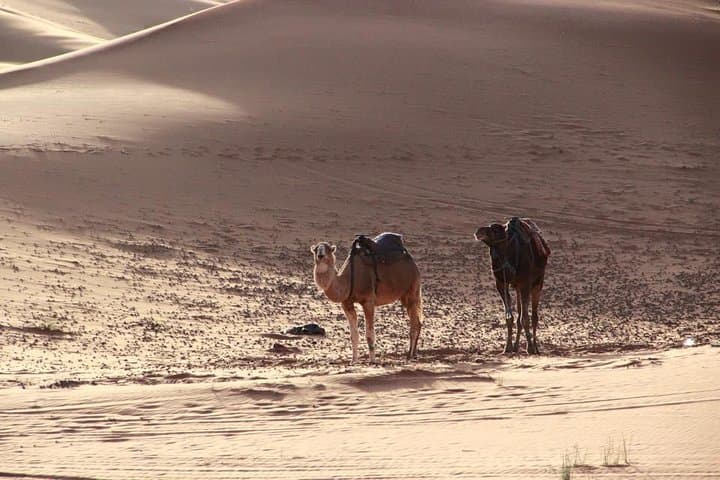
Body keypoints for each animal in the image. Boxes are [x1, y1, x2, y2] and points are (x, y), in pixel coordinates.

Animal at [310, 233, 423, 363]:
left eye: (328, 249)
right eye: (316, 249)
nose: (320, 255)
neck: (348, 280)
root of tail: (410, 259)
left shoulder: (368, 301)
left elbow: (369, 334)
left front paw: (372, 360)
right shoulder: (346, 303)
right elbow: (354, 335)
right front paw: (353, 360)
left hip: (413, 288)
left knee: (415, 322)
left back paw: (409, 356)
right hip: (404, 296)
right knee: (417, 321)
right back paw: (413, 354)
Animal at [474, 217, 550, 355]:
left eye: (495, 230)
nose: (478, 231)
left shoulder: (525, 283)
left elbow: (526, 318)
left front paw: (530, 348)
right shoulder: (501, 283)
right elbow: (510, 318)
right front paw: (507, 347)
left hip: (538, 282)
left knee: (534, 316)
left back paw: (535, 347)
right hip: (518, 287)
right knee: (520, 316)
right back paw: (516, 346)